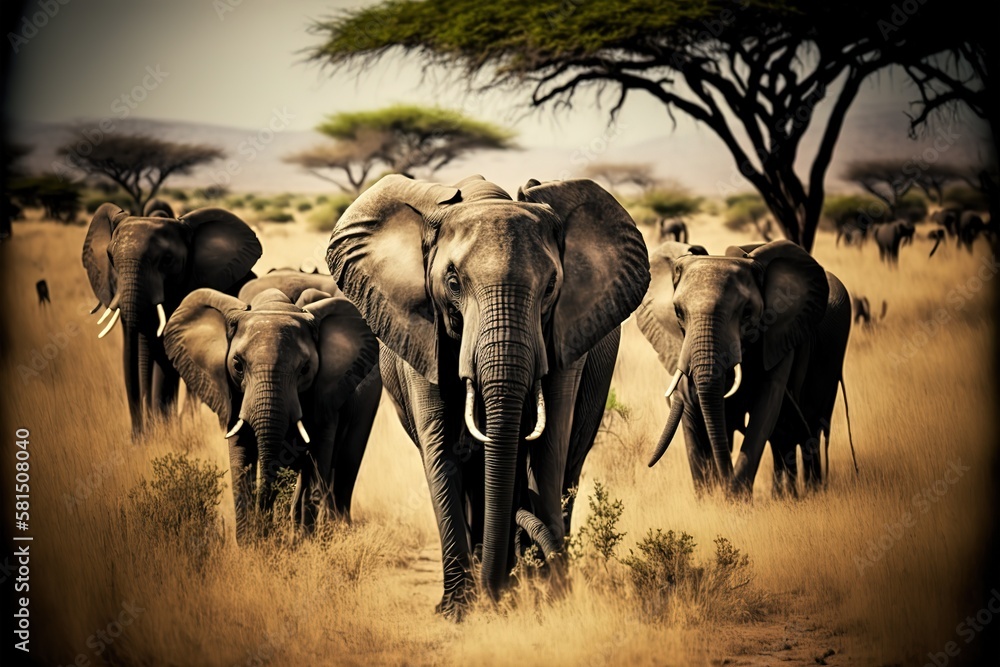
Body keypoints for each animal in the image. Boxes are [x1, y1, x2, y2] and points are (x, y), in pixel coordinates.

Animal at [164, 272, 382, 544]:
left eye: (305, 369)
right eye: (237, 365)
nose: (264, 532)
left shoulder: (326, 389)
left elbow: (318, 452)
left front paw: (304, 543)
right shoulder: (232, 393)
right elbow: (241, 454)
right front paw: (250, 545)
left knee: (346, 461)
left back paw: (335, 529)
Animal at [326, 172, 648, 616]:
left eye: (551, 286)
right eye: (452, 283)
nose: (498, 590)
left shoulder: (564, 334)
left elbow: (548, 446)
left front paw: (544, 594)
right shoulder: (422, 333)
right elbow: (441, 448)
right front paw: (458, 610)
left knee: (568, 463)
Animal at [640, 240, 852, 496]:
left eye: (747, 313)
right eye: (678, 312)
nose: (648, 464)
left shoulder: (780, 335)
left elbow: (766, 408)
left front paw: (735, 498)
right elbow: (691, 412)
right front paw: (709, 498)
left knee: (811, 429)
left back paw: (809, 492)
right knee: (788, 436)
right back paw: (787, 495)